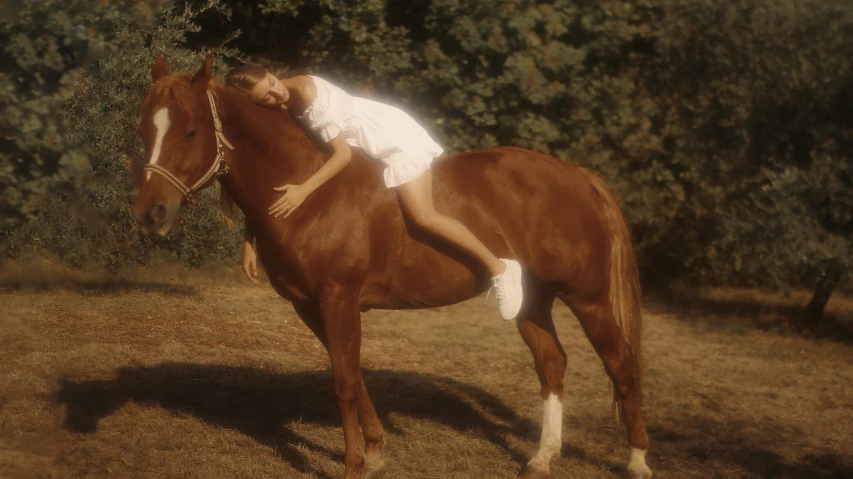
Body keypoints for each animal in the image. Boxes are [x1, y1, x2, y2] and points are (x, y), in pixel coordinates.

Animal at [131, 54, 652, 478]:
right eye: (146, 130)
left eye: (190, 131)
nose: (150, 214)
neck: (311, 188)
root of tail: (577, 175)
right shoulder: (310, 306)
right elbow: (353, 373)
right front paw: (377, 451)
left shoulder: (338, 297)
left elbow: (343, 382)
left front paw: (355, 464)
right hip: (535, 301)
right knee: (552, 364)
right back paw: (542, 458)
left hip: (588, 298)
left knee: (621, 365)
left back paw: (637, 461)